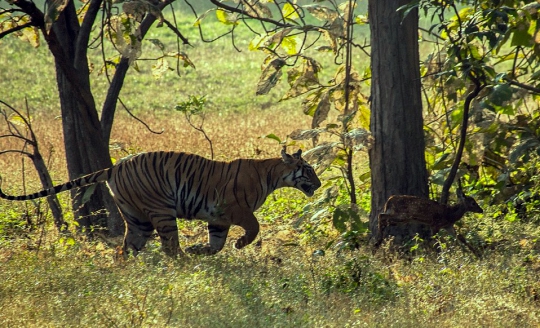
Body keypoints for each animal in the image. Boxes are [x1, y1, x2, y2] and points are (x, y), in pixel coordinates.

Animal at [0, 147, 320, 258]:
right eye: (308, 170)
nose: (318, 184)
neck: (273, 174)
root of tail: (114, 167)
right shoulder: (235, 210)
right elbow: (254, 228)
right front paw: (239, 245)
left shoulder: (217, 218)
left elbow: (216, 245)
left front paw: (201, 249)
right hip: (162, 211)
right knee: (170, 249)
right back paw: (187, 264)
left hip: (137, 218)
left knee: (125, 249)